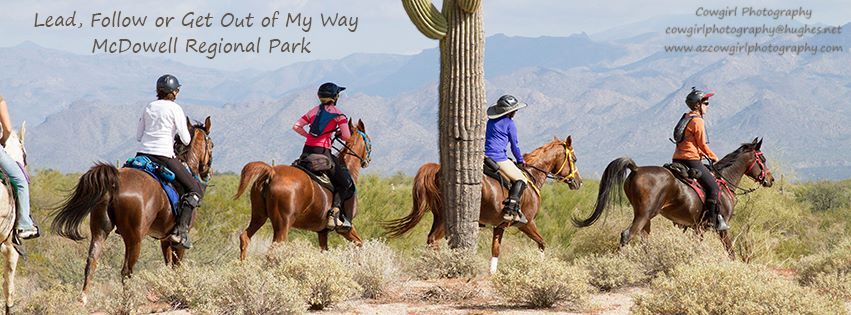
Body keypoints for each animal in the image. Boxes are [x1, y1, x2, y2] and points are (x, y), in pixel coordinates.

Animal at [51, 117, 213, 304]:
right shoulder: (176, 242)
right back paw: (128, 302)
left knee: (91, 261)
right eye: (212, 145)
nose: (207, 171)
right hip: (134, 238)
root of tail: (115, 182)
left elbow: (168, 267)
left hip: (100, 229)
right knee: (126, 271)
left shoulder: (165, 239)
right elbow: (177, 268)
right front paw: (179, 291)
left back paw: (84, 299)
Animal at [236, 119, 376, 260]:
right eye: (369, 141)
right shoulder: (346, 228)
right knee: (272, 251)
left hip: (259, 216)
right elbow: (361, 244)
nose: (368, 160)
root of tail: (272, 172)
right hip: (283, 225)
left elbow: (325, 251)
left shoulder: (322, 231)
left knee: (245, 237)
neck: (347, 167)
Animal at [384, 136, 580, 274]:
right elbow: (542, 243)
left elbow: (495, 250)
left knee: (431, 240)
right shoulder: (527, 223)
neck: (531, 176)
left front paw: (492, 273)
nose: (578, 182)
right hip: (446, 218)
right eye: (575, 159)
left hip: (439, 217)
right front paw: (541, 267)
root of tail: (438, 171)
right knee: (433, 240)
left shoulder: (500, 225)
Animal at [576, 139, 776, 260]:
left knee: (644, 238)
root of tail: (636, 169)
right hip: (644, 214)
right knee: (627, 234)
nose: (771, 179)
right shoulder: (722, 226)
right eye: (763, 159)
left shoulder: (698, 228)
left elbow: (697, 246)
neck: (724, 181)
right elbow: (730, 250)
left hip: (645, 216)